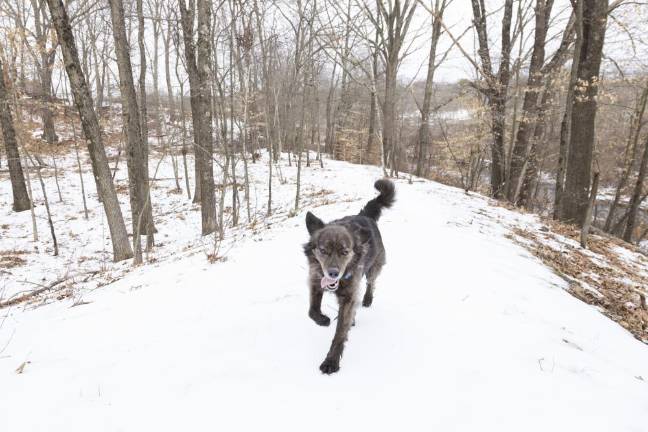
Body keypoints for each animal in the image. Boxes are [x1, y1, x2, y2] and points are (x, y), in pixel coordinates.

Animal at [304, 179, 394, 374]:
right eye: (323, 250)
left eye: (345, 252)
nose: (333, 273)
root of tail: (365, 215)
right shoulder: (315, 282)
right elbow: (312, 311)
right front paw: (322, 320)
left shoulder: (349, 296)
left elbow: (339, 334)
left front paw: (331, 361)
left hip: (373, 268)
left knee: (371, 283)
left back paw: (367, 299)